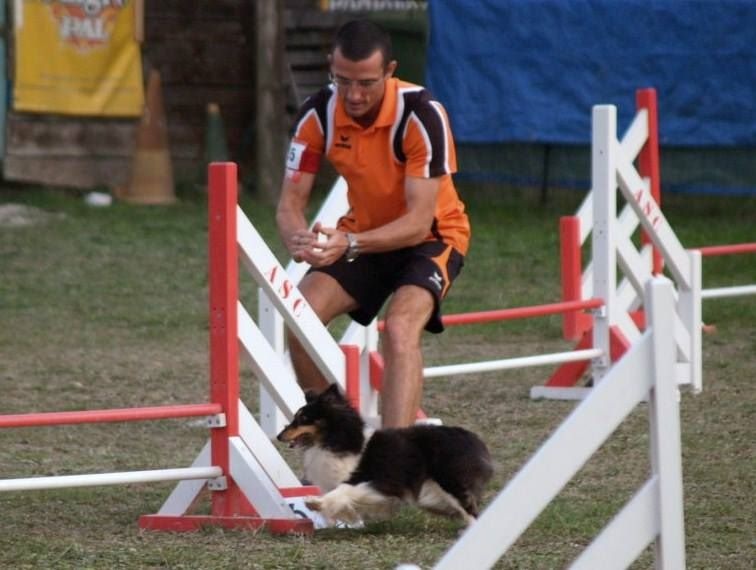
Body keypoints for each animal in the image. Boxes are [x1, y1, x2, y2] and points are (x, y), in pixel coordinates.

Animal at [278, 382, 496, 524]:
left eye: (302, 419)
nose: (279, 436)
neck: (335, 439)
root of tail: (472, 438)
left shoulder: (369, 479)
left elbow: (342, 491)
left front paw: (314, 503)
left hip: (450, 481)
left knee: (470, 509)